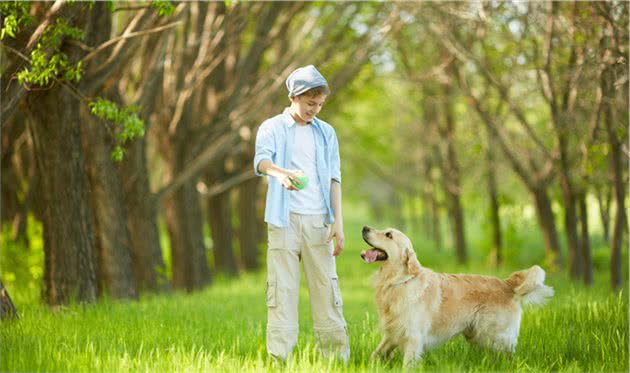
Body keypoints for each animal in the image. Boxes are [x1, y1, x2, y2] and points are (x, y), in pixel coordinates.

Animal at [362, 225, 556, 364]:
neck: (399, 280)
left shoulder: (413, 336)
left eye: (388, 235)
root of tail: (506, 283)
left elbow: (407, 364)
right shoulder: (393, 332)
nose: (365, 228)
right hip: (477, 335)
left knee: (508, 354)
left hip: (496, 336)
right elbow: (375, 353)